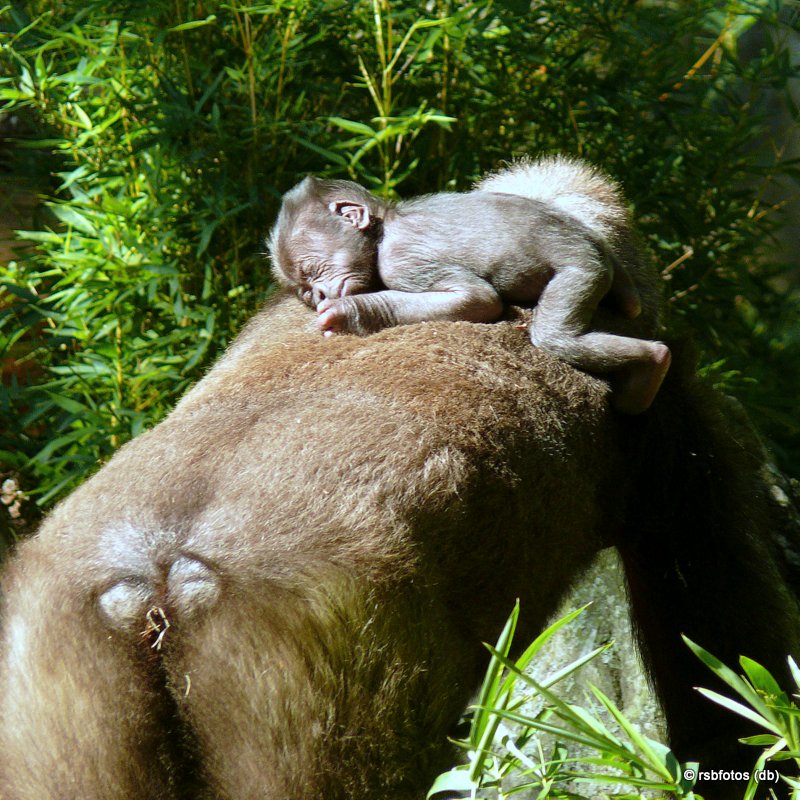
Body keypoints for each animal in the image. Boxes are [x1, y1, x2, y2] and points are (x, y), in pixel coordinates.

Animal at [268, 155, 668, 412]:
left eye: (312, 271)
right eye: (304, 290)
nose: (317, 293)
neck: (385, 225)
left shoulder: (402, 260)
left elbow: (476, 299)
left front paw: (347, 312)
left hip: (582, 269)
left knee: (557, 337)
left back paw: (653, 363)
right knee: (630, 301)